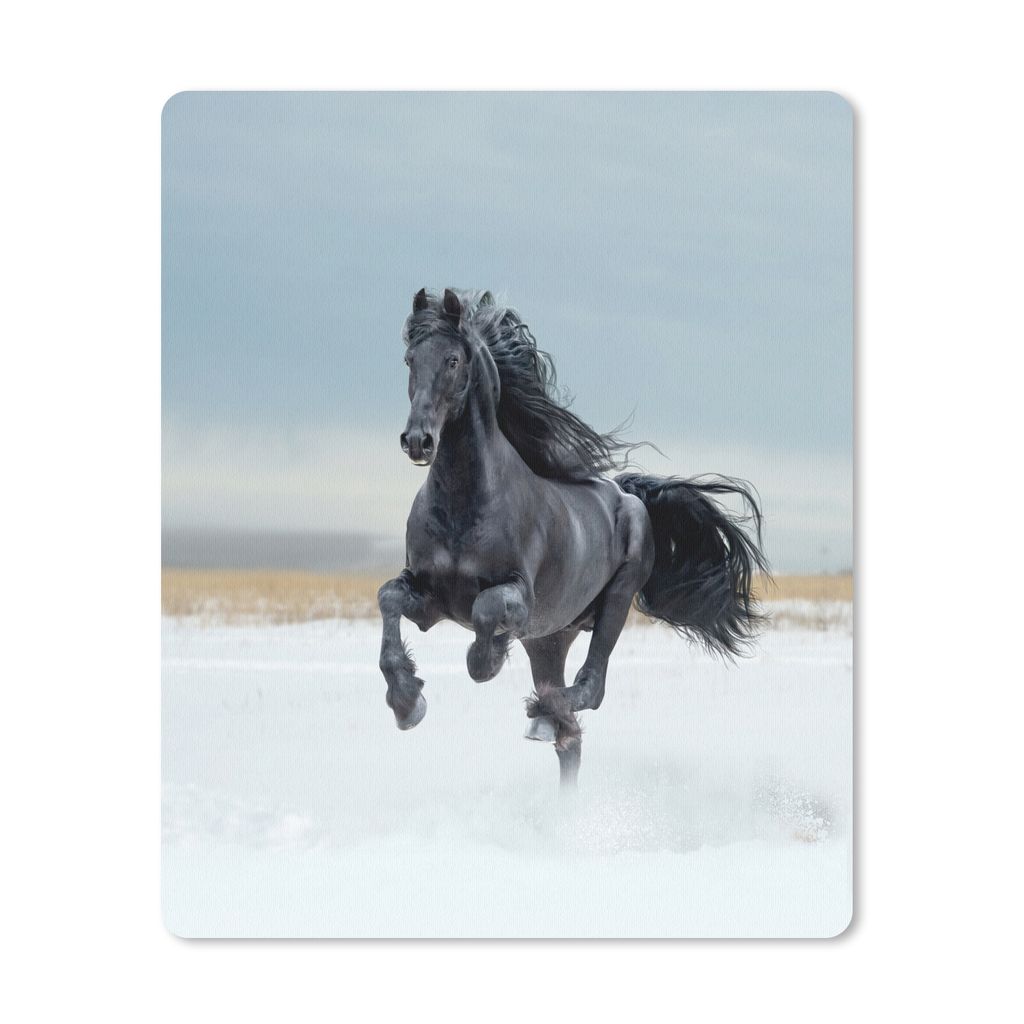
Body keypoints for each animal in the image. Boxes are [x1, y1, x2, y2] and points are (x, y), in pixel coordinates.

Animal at [377, 288, 770, 788]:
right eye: (410, 359)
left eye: (452, 360)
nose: (418, 441)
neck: (464, 507)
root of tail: (629, 495)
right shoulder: (429, 598)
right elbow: (389, 598)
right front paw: (408, 702)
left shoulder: (517, 596)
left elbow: (486, 615)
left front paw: (489, 656)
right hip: (550, 639)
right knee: (572, 739)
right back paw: (551, 736)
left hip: (614, 603)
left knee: (589, 687)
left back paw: (544, 714)